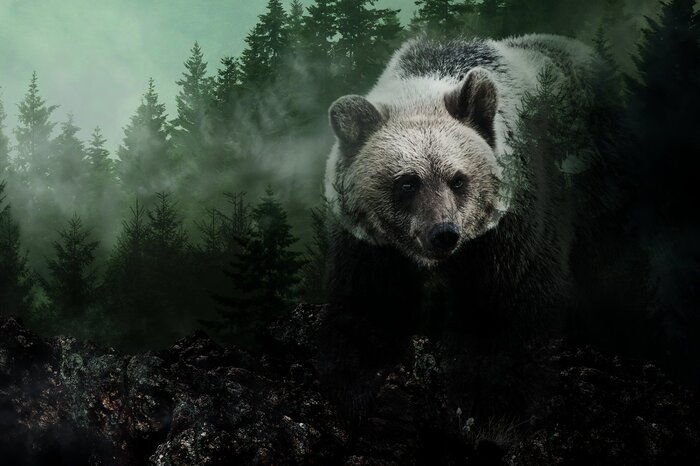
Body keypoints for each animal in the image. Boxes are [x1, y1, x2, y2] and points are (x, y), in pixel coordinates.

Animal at [318, 35, 598, 421]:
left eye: (458, 179)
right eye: (407, 183)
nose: (443, 233)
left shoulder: (512, 228)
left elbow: (506, 304)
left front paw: (492, 403)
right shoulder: (370, 247)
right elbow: (369, 304)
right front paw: (355, 382)